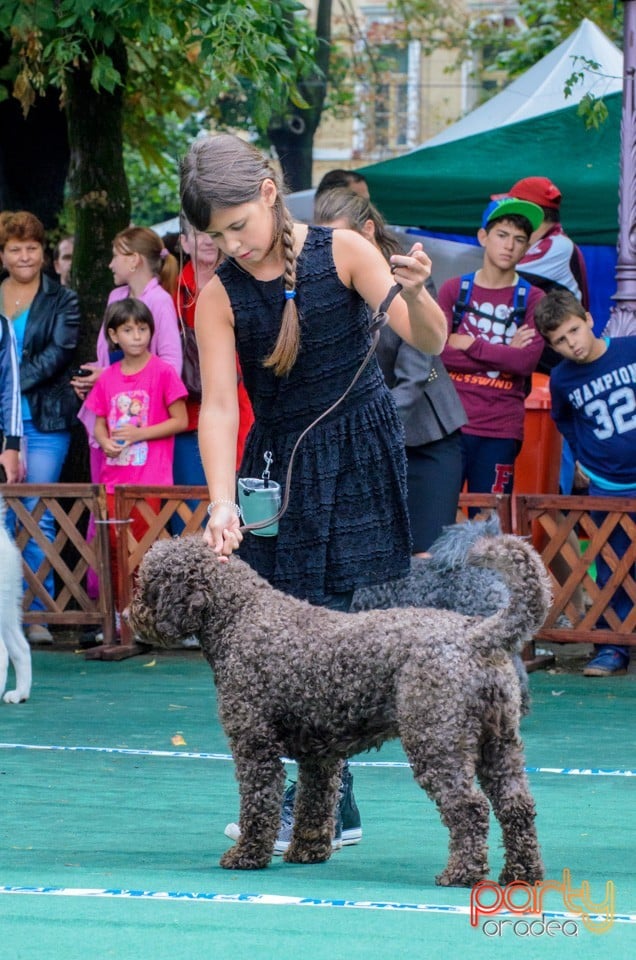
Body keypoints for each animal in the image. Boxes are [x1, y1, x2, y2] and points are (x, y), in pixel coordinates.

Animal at [126, 532, 548, 884]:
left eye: (149, 584)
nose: (130, 615)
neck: (242, 617)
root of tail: (476, 634)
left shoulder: (254, 747)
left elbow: (258, 805)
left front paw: (246, 855)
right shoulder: (319, 756)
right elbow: (314, 805)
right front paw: (307, 852)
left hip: (437, 742)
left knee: (471, 808)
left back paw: (462, 872)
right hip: (500, 745)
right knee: (517, 807)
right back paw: (521, 872)